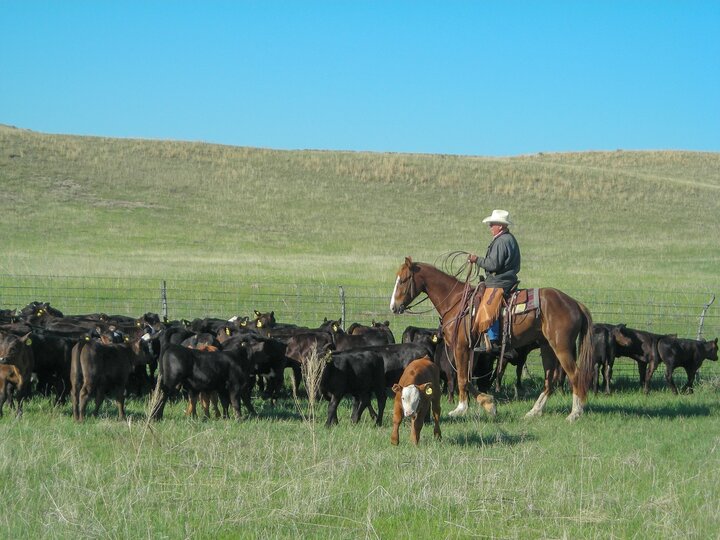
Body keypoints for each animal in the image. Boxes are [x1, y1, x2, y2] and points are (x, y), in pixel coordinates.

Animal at [390, 258, 592, 422]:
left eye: (404, 280)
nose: (393, 306)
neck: (455, 302)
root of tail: (575, 304)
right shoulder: (470, 350)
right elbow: (468, 379)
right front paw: (489, 404)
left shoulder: (461, 347)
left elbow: (462, 378)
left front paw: (460, 409)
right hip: (547, 347)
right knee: (550, 381)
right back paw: (534, 411)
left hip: (561, 347)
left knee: (575, 375)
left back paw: (575, 413)